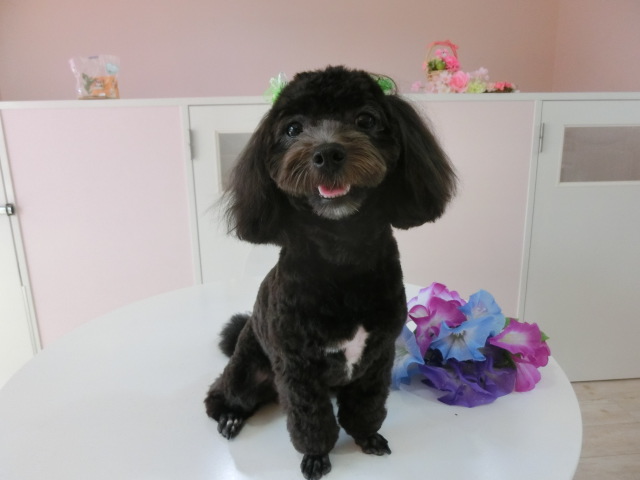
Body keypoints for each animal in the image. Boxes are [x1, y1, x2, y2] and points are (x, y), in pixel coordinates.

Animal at [204, 66, 456, 480]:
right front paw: (316, 456)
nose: (327, 153)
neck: (342, 256)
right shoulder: (298, 368)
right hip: (247, 369)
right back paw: (229, 417)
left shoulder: (377, 356)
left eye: (366, 120)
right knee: (223, 394)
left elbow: (366, 406)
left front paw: (367, 437)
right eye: (292, 129)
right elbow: (312, 420)